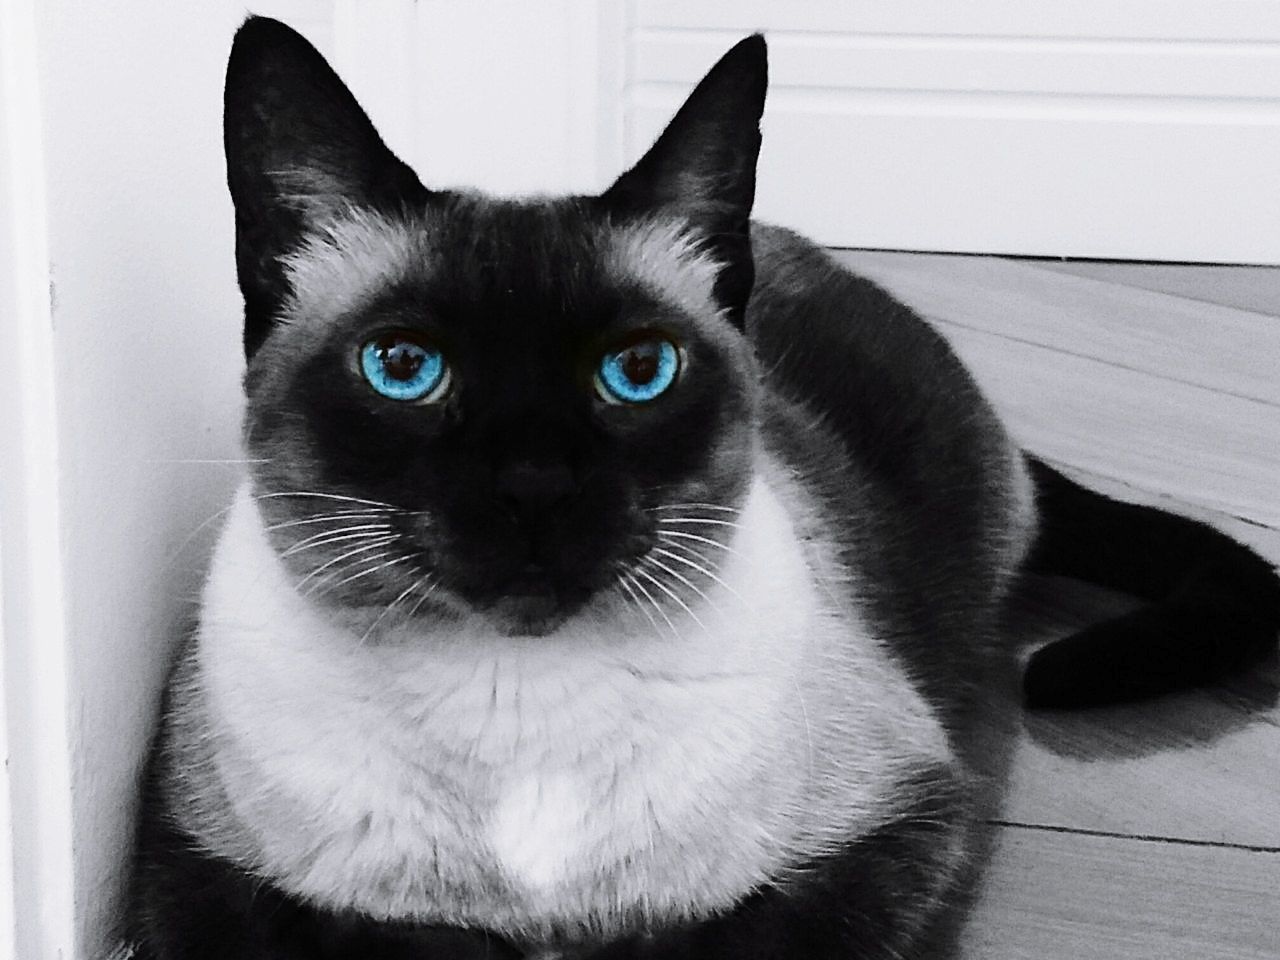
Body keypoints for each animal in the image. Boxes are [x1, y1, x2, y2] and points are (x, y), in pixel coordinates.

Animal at [127, 16, 1280, 960]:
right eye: (402, 368)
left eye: (639, 371)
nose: (535, 486)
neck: (514, 703)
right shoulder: (196, 869)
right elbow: (373, 943)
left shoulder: (890, 827)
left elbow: (727, 944)